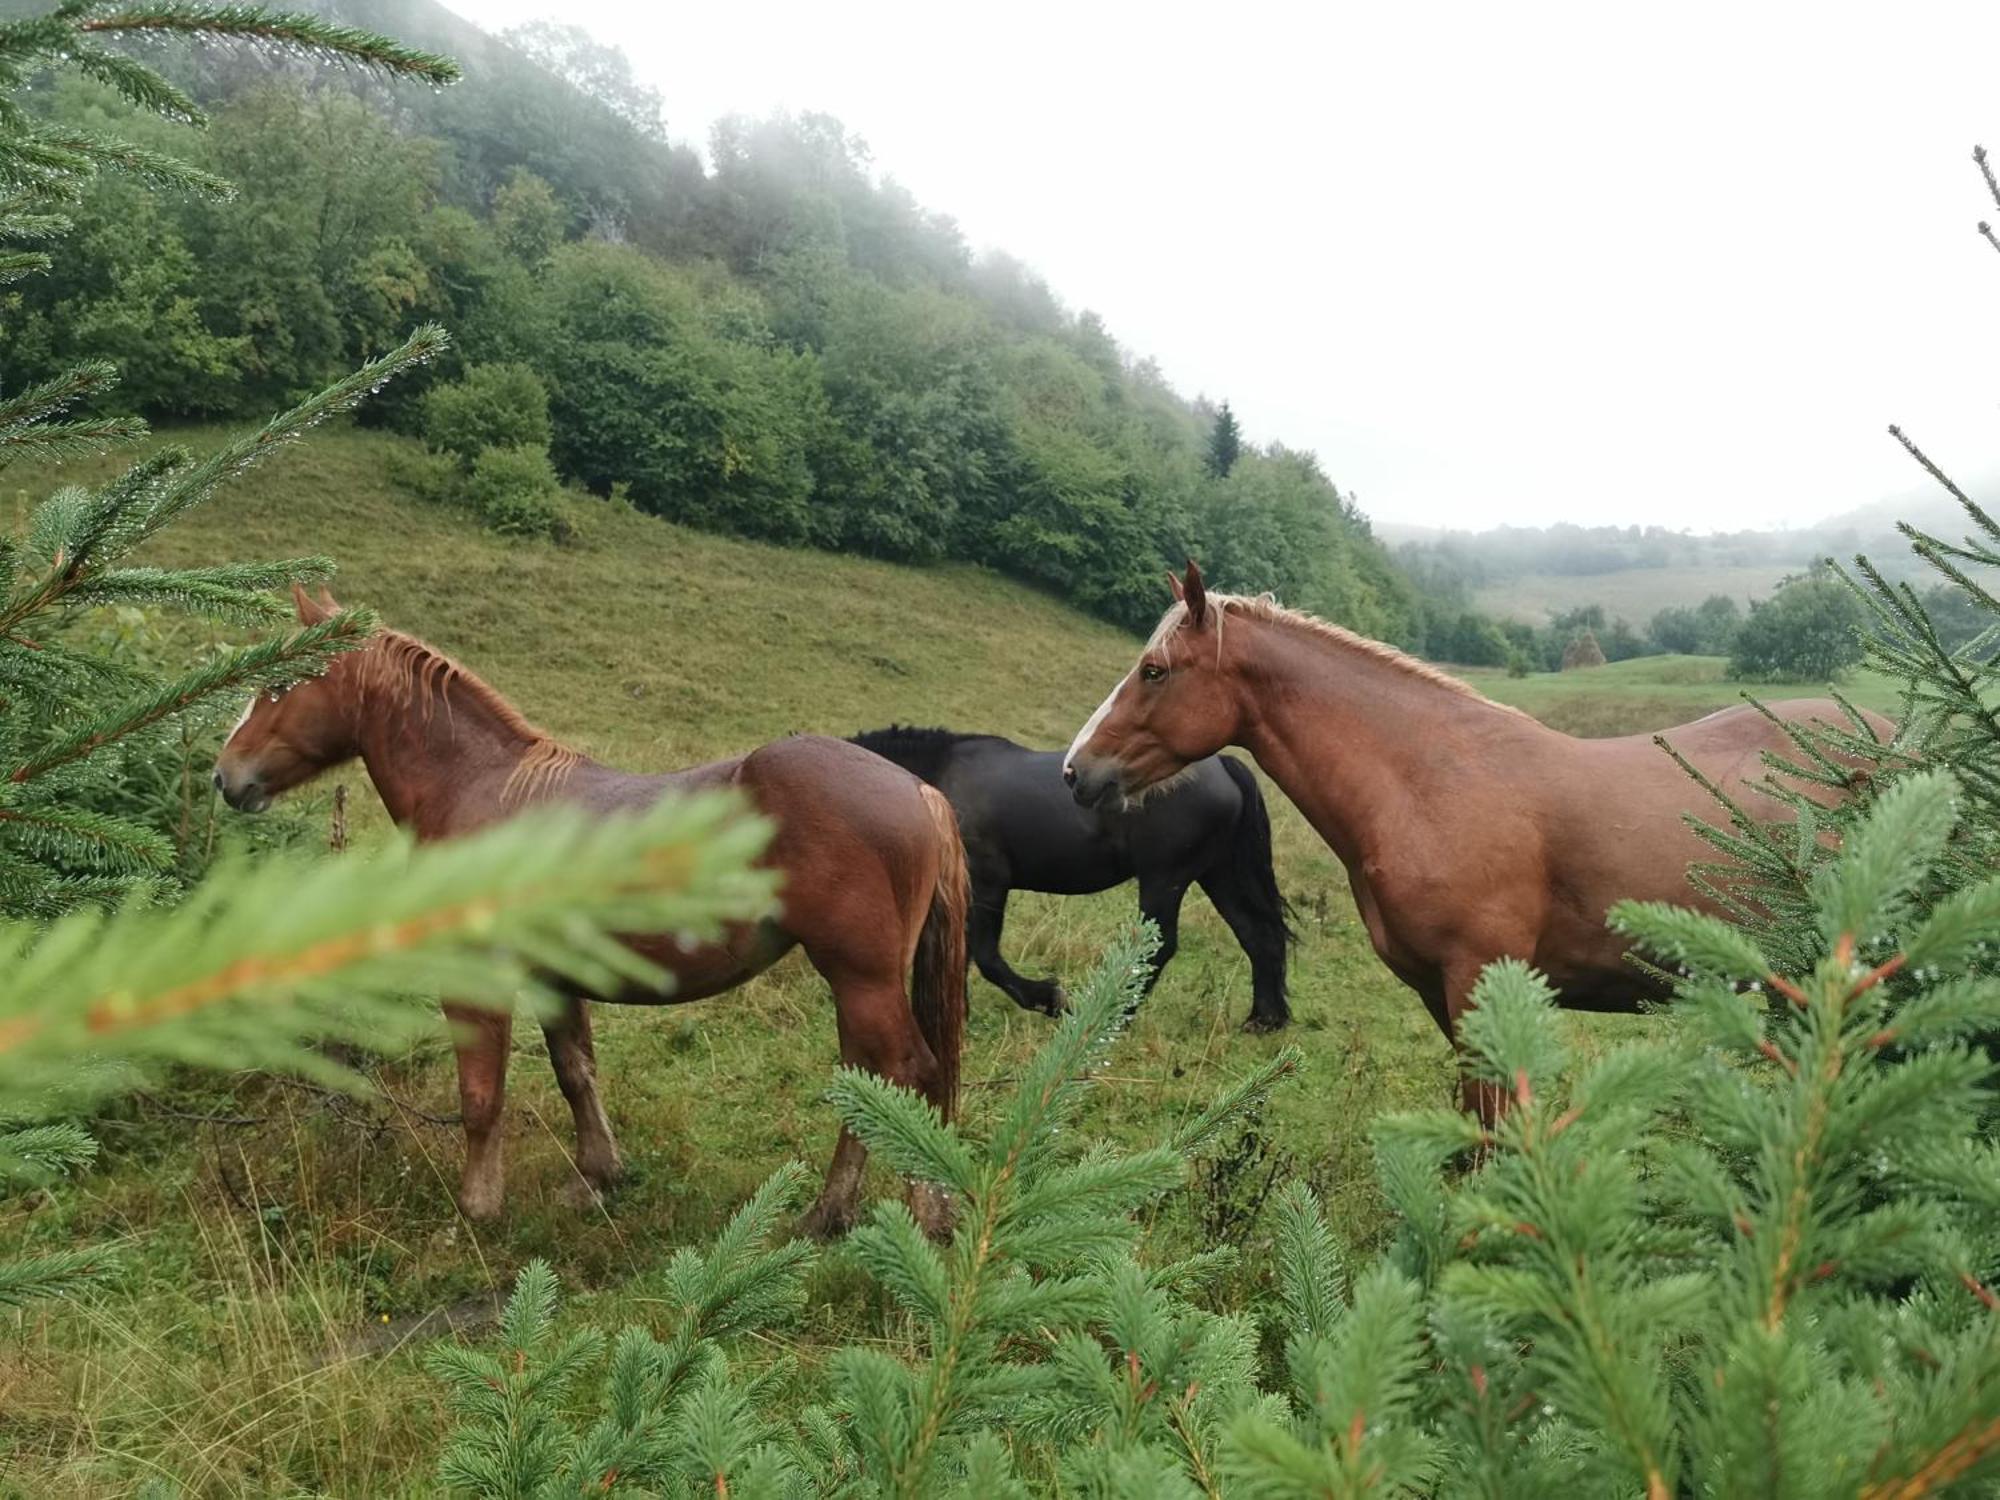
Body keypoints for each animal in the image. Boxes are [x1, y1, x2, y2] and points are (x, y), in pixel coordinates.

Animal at [215, 592, 964, 1240]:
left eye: (283, 682)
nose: (226, 775)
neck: (478, 789)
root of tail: (918, 789)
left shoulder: (478, 979)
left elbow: (481, 1095)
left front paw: (477, 1208)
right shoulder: (553, 976)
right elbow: (575, 1070)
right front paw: (598, 1177)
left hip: (860, 976)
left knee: (910, 1073)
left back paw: (922, 1215)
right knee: (868, 1080)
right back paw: (829, 1214)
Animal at [848, 728, 1296, 1032]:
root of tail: (1224, 766)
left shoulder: (989, 883)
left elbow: (987, 957)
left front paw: (1048, 998)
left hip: (1164, 879)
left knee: (1161, 948)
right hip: (1219, 874)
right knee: (1258, 936)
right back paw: (1264, 1019)